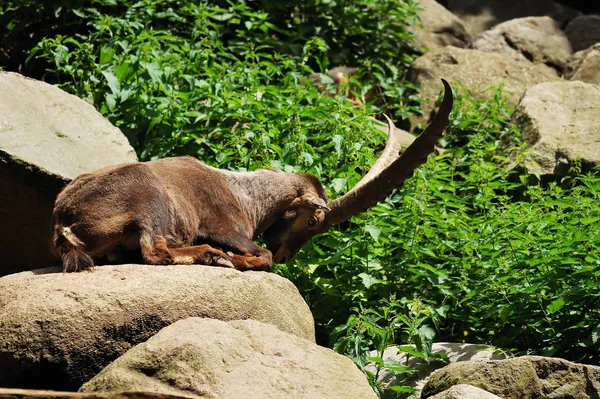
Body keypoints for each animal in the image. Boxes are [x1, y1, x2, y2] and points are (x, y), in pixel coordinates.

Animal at [52, 79, 454, 272]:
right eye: (313, 222)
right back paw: (214, 256)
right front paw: (239, 259)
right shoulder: (225, 228)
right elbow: (262, 254)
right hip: (149, 200)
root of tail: (64, 220)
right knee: (155, 251)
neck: (245, 194)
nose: (289, 254)